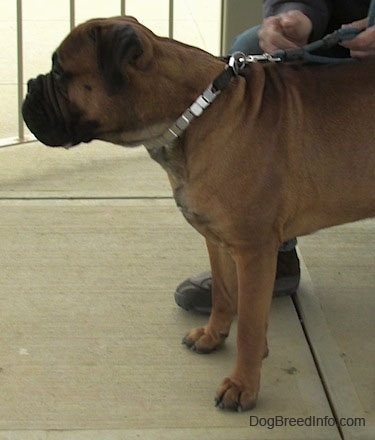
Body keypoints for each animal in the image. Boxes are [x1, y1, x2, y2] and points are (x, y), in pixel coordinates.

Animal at [22, 15, 375, 410]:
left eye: (59, 72)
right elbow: (223, 292)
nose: (29, 85)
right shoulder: (216, 238)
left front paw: (242, 384)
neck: (191, 113)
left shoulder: (254, 250)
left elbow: (249, 324)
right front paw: (213, 335)